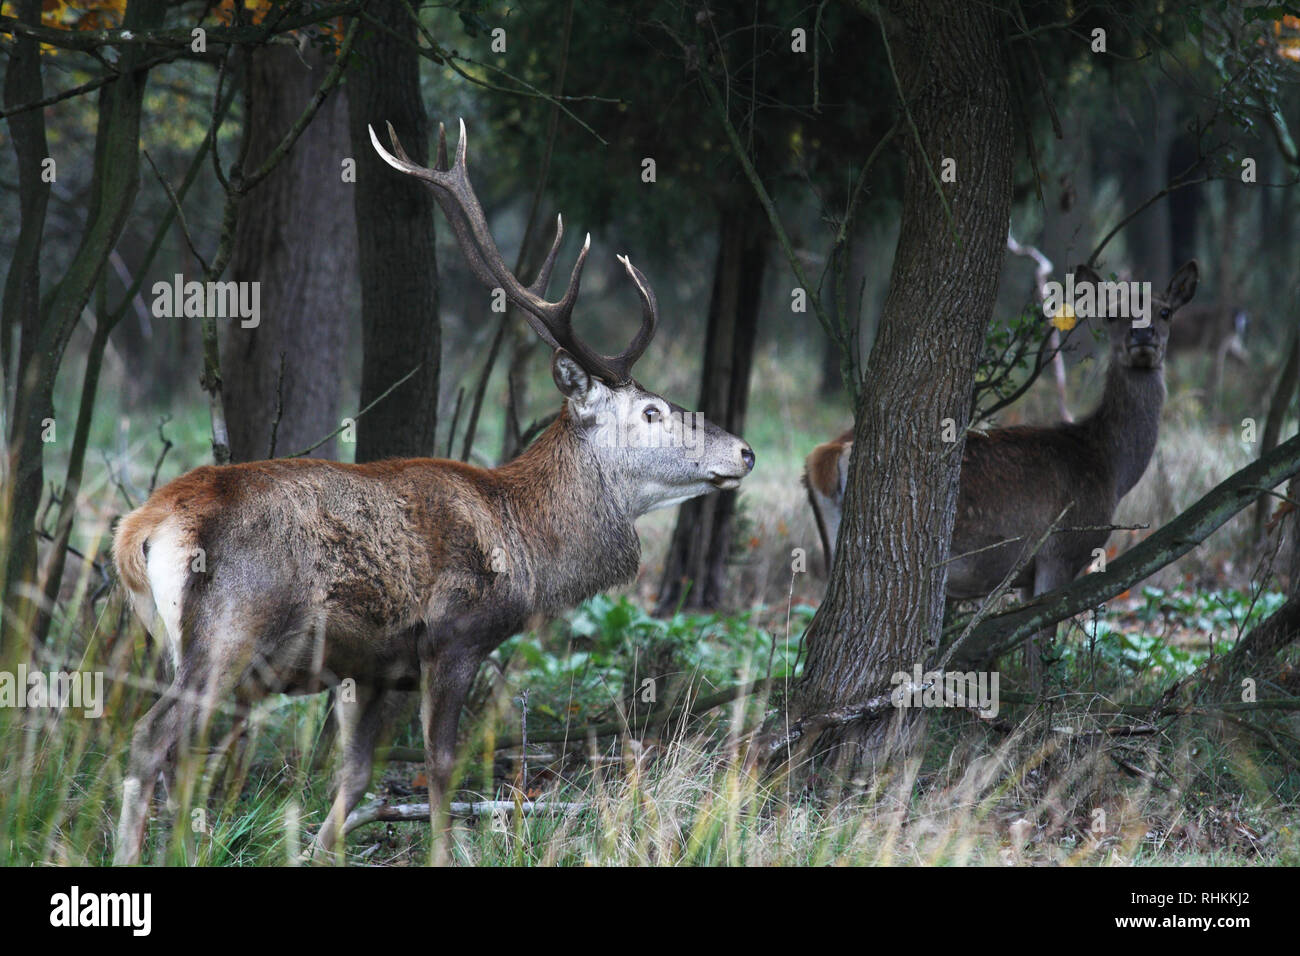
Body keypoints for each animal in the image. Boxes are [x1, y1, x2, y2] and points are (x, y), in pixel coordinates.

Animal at [118, 121, 759, 868]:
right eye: (653, 411)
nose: (744, 451)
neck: (528, 543)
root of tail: (141, 528)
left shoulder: (377, 668)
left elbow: (356, 772)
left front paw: (316, 851)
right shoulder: (454, 635)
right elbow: (442, 765)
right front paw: (446, 851)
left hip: (172, 641)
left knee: (179, 752)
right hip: (230, 630)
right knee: (153, 741)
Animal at [806, 261, 1201, 681]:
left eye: (1165, 311)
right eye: (1112, 314)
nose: (1142, 335)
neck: (1108, 465)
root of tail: (823, 457)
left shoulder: (1028, 574)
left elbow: (1029, 649)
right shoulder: (1058, 551)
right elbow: (1042, 647)